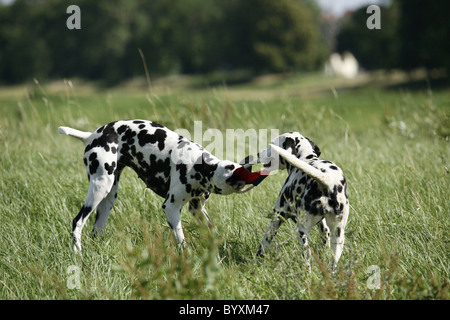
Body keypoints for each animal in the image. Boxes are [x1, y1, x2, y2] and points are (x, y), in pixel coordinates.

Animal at [58, 119, 268, 254]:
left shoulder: (197, 209)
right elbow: (181, 240)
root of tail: (91, 135)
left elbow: (211, 231)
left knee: (96, 230)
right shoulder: (171, 208)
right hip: (99, 188)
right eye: (232, 172)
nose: (252, 172)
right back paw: (77, 253)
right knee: (77, 222)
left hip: (108, 197)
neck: (197, 165)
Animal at [241, 131, 350, 266]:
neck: (306, 159)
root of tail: (327, 179)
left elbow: (263, 246)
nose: (257, 154)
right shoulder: (324, 228)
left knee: (307, 254)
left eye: (271, 145)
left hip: (302, 231)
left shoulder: (276, 219)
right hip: (338, 236)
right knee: (334, 260)